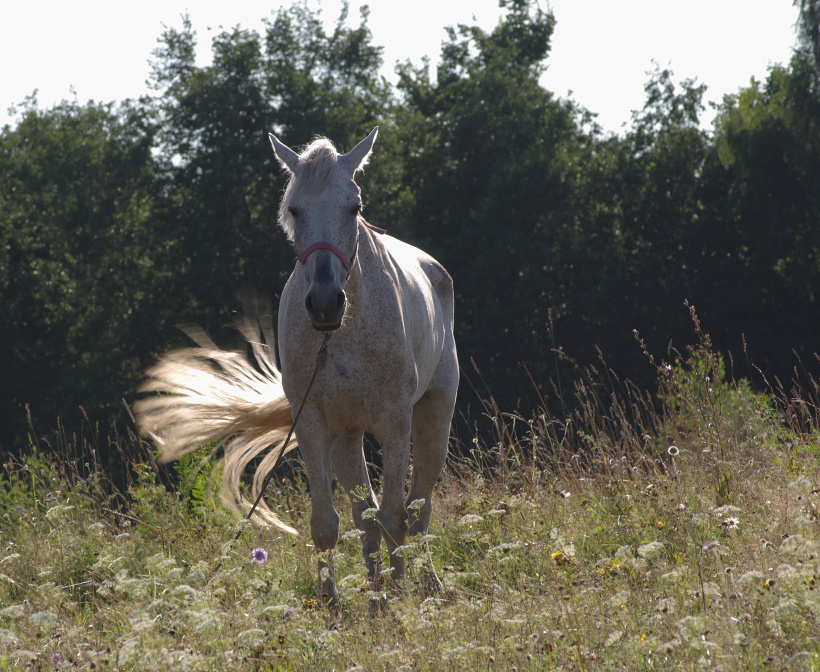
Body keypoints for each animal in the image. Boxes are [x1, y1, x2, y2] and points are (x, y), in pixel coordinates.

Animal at [135, 128, 459, 605]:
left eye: (354, 207)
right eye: (294, 209)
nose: (325, 303)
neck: (339, 333)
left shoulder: (395, 421)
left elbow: (396, 516)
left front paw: (400, 599)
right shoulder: (312, 424)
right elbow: (328, 525)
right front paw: (332, 607)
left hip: (435, 413)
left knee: (419, 509)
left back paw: (425, 586)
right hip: (348, 436)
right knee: (365, 517)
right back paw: (376, 596)